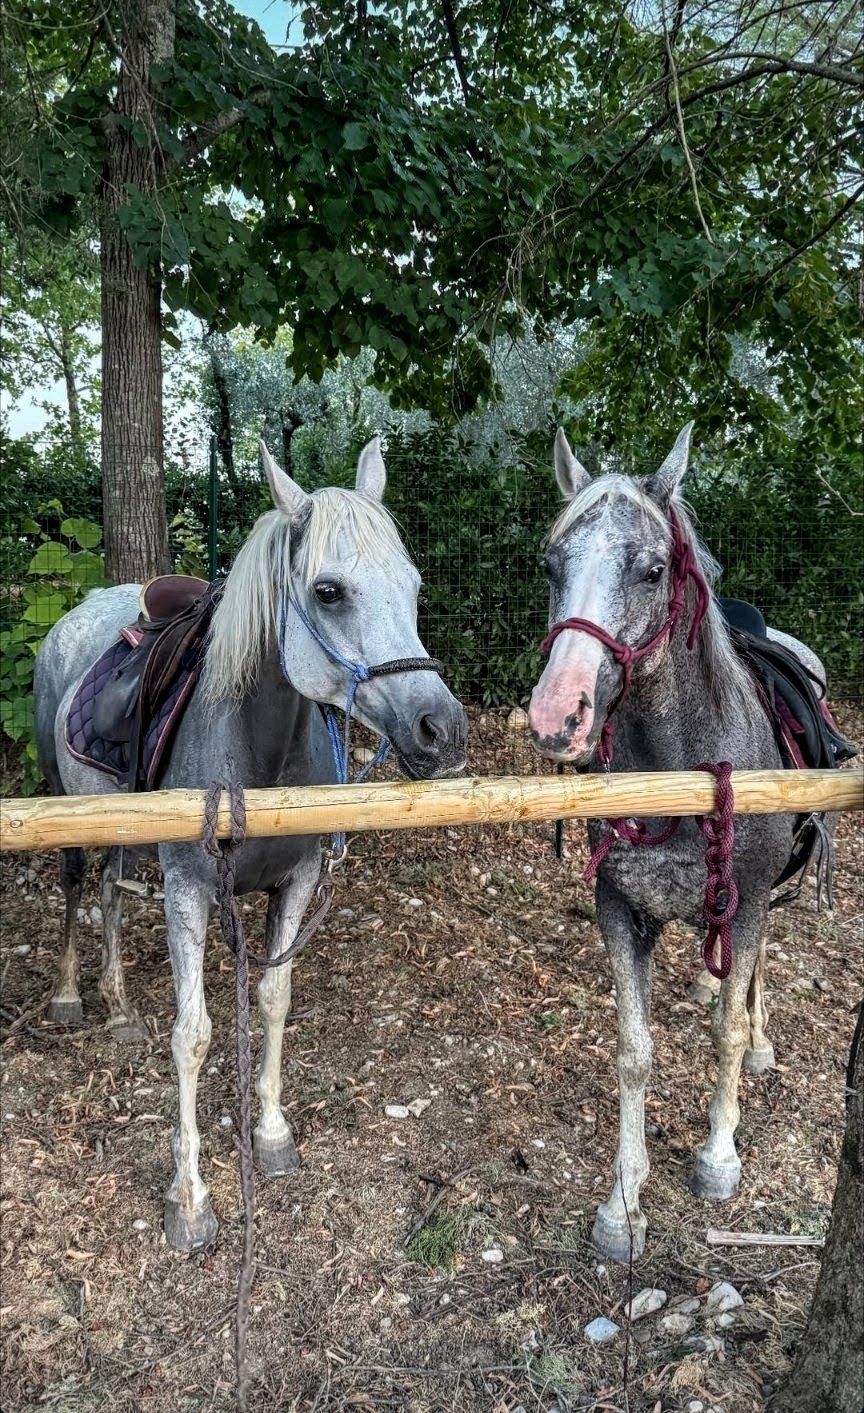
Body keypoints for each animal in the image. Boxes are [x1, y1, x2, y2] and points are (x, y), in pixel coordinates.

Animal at [34, 438, 467, 1251]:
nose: (442, 730)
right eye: (328, 591)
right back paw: (75, 994)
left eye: (415, 585)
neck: (258, 750)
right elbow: (194, 1034)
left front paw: (269, 1135)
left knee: (109, 890)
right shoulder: (187, 892)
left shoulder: (295, 883)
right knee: (78, 884)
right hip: (63, 804)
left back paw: (118, 1006)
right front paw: (191, 1198)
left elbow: (272, 999)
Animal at [527, 423, 832, 1261]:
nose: (557, 715)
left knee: (753, 974)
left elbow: (725, 1029)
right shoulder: (620, 910)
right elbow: (635, 1051)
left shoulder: (750, 897)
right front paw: (622, 1203)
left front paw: (718, 1153)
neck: (679, 771)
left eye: (652, 568)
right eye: (551, 564)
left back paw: (758, 1036)